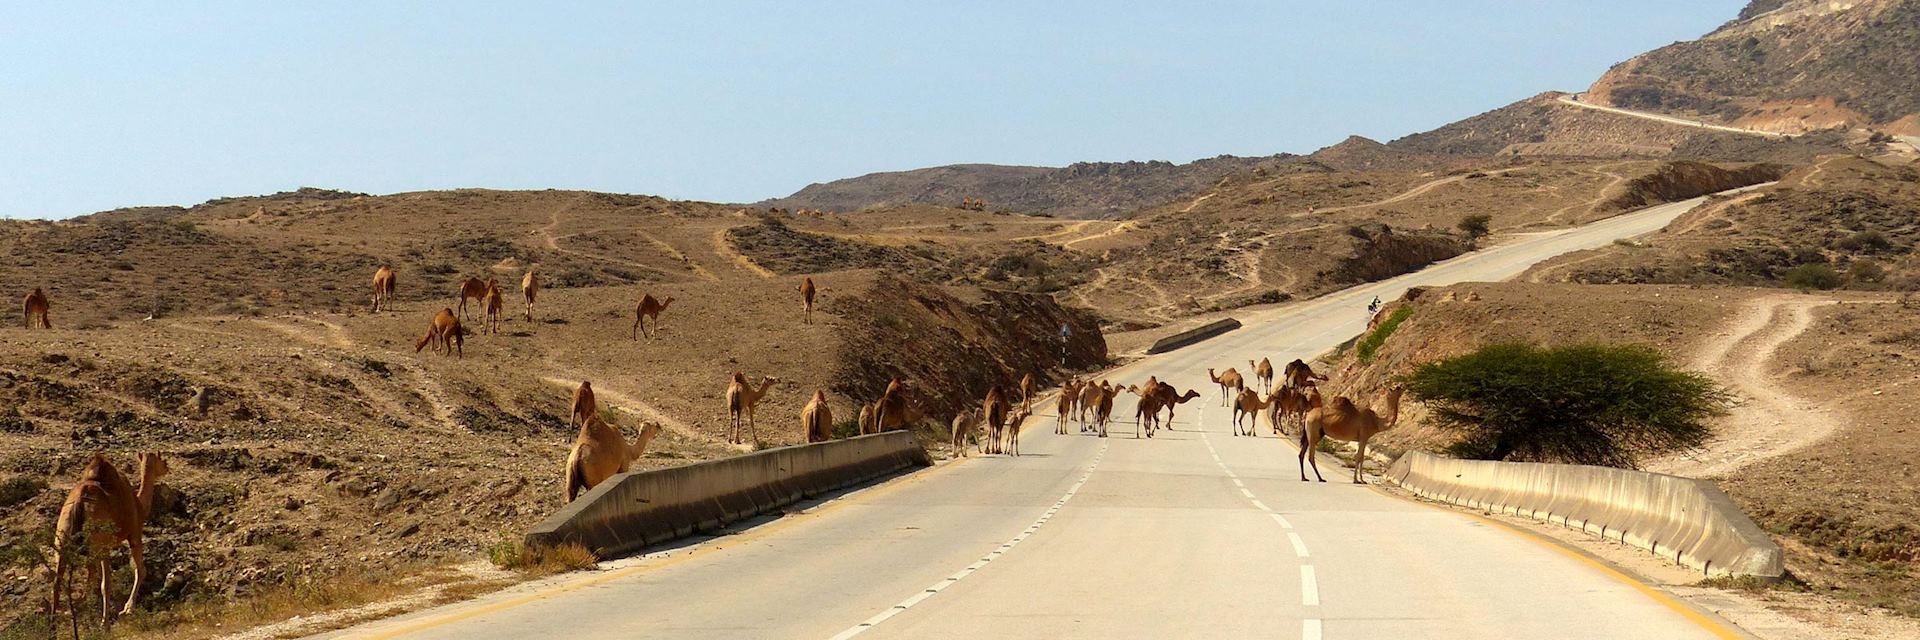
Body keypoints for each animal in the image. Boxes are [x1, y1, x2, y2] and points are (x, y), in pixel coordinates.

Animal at [50, 447, 169, 622]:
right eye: (162, 460)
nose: (167, 467)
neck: (140, 505)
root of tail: (80, 502)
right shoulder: (134, 533)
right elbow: (140, 570)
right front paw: (128, 608)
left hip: (62, 538)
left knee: (58, 583)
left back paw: (54, 622)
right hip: (101, 543)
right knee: (105, 583)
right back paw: (104, 623)